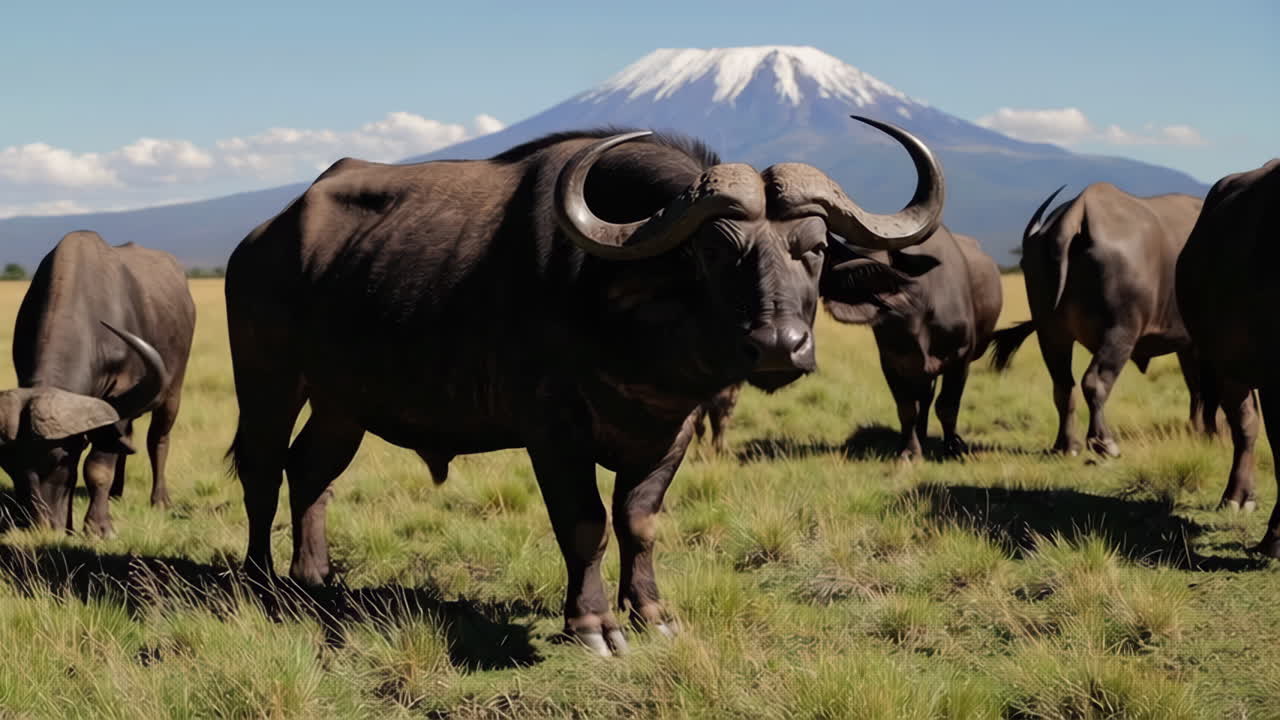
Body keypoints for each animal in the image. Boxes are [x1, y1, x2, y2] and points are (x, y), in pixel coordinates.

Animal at [0, 231, 195, 536]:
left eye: (59, 459)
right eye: (8, 465)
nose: (39, 526)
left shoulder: (119, 396)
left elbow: (98, 466)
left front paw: (98, 526)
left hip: (173, 391)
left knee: (157, 440)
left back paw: (160, 499)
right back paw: (116, 492)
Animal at [224, 117, 944, 655]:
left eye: (815, 247)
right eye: (714, 250)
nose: (777, 345)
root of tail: (260, 238)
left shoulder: (673, 430)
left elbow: (639, 521)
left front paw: (652, 613)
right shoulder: (554, 434)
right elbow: (586, 523)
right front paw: (593, 625)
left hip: (342, 402)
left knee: (310, 471)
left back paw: (315, 576)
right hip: (267, 378)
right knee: (262, 470)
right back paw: (263, 583)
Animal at [990, 183, 1206, 457]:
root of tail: (1077, 213)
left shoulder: (1188, 345)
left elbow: (1196, 385)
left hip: (1051, 335)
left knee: (1063, 386)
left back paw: (1066, 445)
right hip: (1119, 332)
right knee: (1095, 382)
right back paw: (1104, 443)